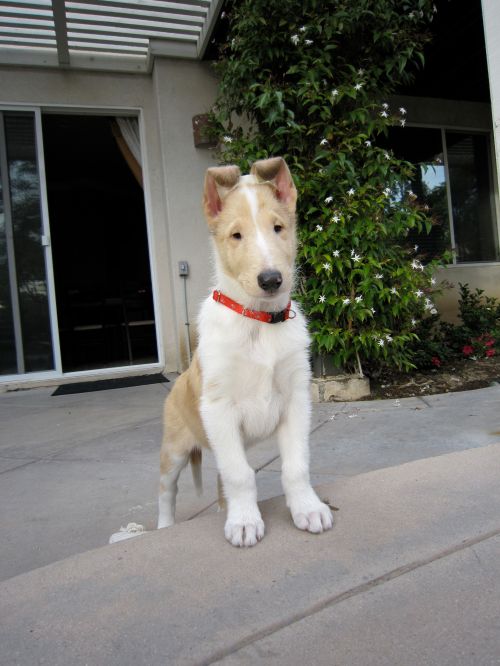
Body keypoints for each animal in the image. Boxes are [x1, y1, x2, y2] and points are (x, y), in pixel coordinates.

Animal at [158, 156, 333, 547]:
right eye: (236, 236)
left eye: (278, 228)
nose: (271, 280)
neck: (259, 321)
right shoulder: (219, 408)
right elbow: (240, 475)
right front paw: (243, 523)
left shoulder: (296, 399)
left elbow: (295, 466)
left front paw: (307, 508)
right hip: (175, 447)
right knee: (167, 489)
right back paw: (164, 527)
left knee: (221, 476)